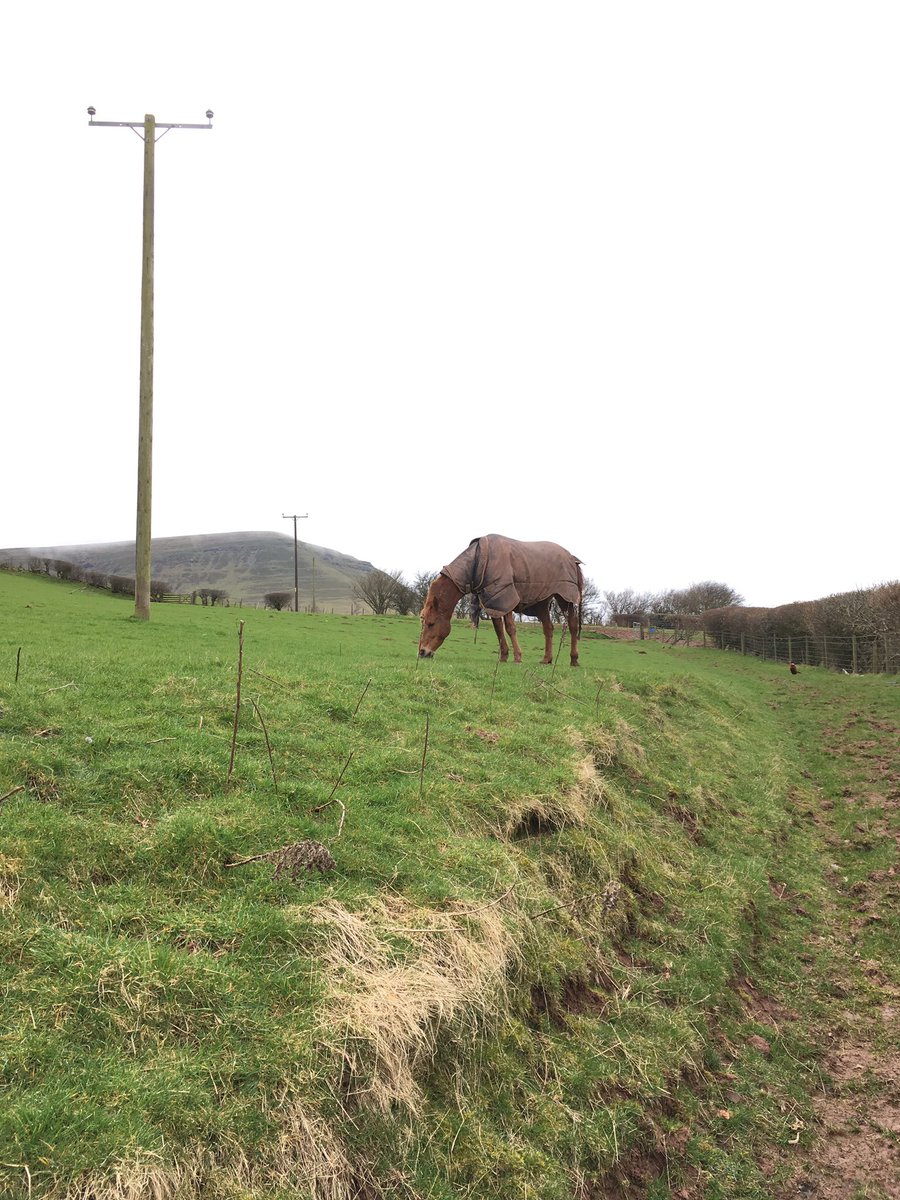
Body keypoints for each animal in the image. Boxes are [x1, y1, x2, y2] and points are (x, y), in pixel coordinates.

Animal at [418, 534, 583, 666]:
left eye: (431, 623)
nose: (422, 652)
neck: (477, 560)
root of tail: (572, 558)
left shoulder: (505, 598)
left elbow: (510, 628)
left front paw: (517, 657)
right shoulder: (493, 603)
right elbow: (499, 630)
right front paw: (504, 657)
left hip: (565, 598)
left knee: (573, 625)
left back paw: (574, 659)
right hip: (541, 603)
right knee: (548, 628)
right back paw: (547, 659)